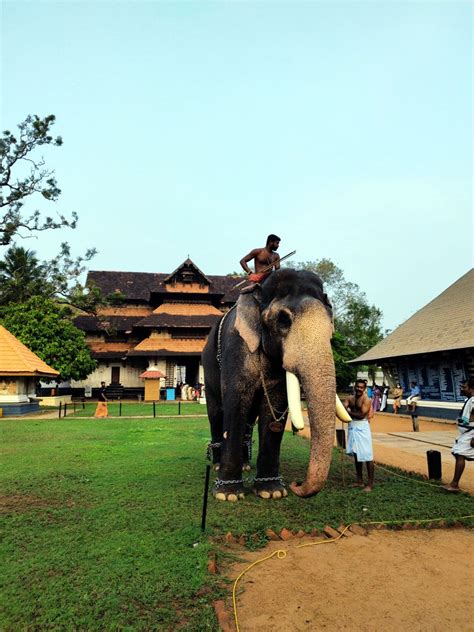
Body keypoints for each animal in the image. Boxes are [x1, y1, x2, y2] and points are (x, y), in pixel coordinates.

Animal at [200, 268, 348, 504]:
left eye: (330, 324)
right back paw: (215, 466)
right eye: (283, 319)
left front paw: (272, 492)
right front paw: (228, 495)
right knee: (216, 413)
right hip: (208, 365)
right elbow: (235, 404)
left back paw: (246, 465)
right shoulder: (236, 347)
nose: (297, 484)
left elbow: (274, 408)